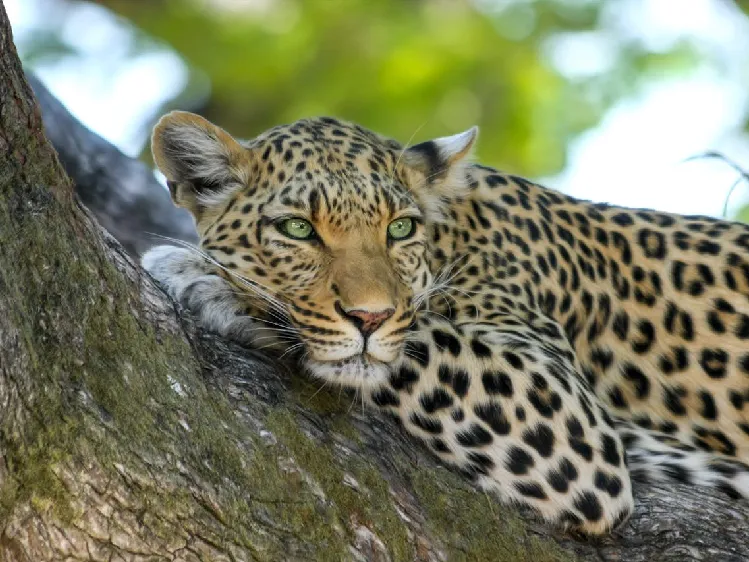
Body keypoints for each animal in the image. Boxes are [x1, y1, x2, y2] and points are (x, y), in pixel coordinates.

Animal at [142, 110, 749, 535]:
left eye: (400, 228)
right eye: (297, 229)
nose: (369, 316)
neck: (456, 236)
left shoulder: (568, 416)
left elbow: (418, 339)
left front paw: (205, 277)